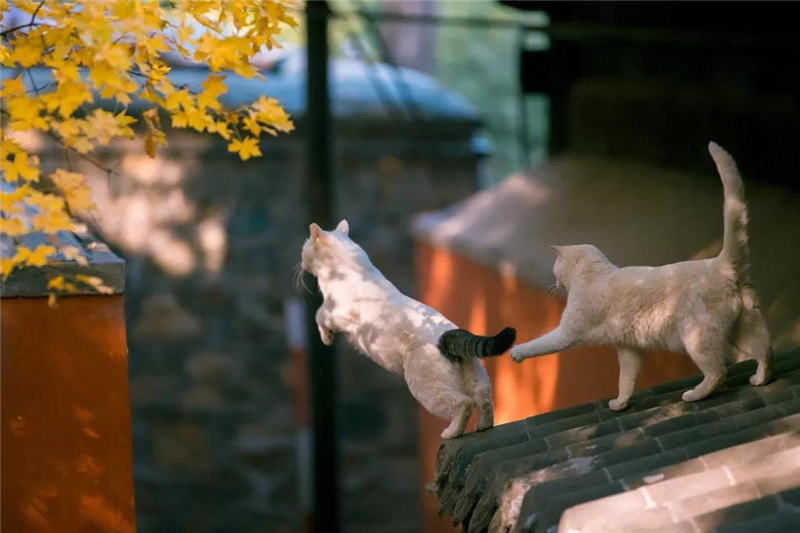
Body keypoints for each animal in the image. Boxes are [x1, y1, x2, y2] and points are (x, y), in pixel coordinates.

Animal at [304, 219, 516, 436]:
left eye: (305, 247)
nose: (302, 263)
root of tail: (448, 334)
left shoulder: (338, 311)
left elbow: (319, 314)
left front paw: (326, 338)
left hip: (425, 388)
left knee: (463, 404)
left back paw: (451, 433)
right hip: (477, 377)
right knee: (484, 398)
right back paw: (483, 426)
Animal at [510, 140, 772, 408]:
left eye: (556, 270)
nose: (554, 281)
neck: (594, 275)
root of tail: (722, 264)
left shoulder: (567, 332)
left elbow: (539, 344)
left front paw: (516, 353)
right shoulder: (628, 349)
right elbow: (626, 380)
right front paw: (619, 404)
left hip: (698, 339)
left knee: (718, 371)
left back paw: (693, 395)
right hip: (743, 329)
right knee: (765, 350)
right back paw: (760, 379)